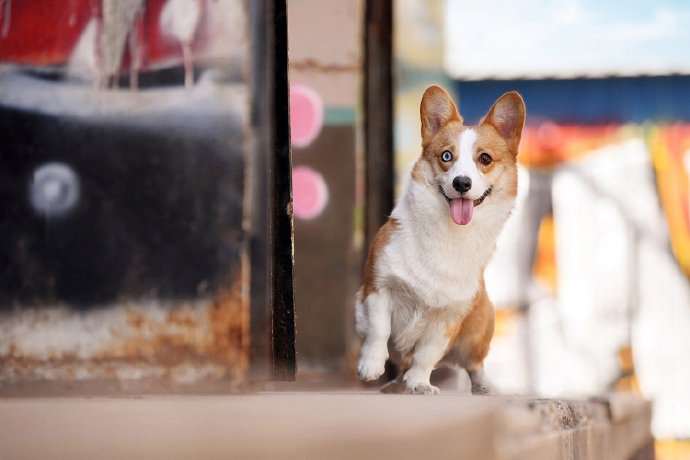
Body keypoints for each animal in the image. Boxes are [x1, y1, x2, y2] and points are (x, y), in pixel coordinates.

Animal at [352, 86, 524, 396]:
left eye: (485, 159)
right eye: (446, 156)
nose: (462, 183)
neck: (449, 233)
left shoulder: (448, 319)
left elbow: (426, 355)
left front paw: (420, 383)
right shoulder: (377, 288)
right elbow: (379, 331)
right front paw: (370, 366)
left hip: (481, 325)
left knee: (474, 365)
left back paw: (485, 387)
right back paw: (393, 385)